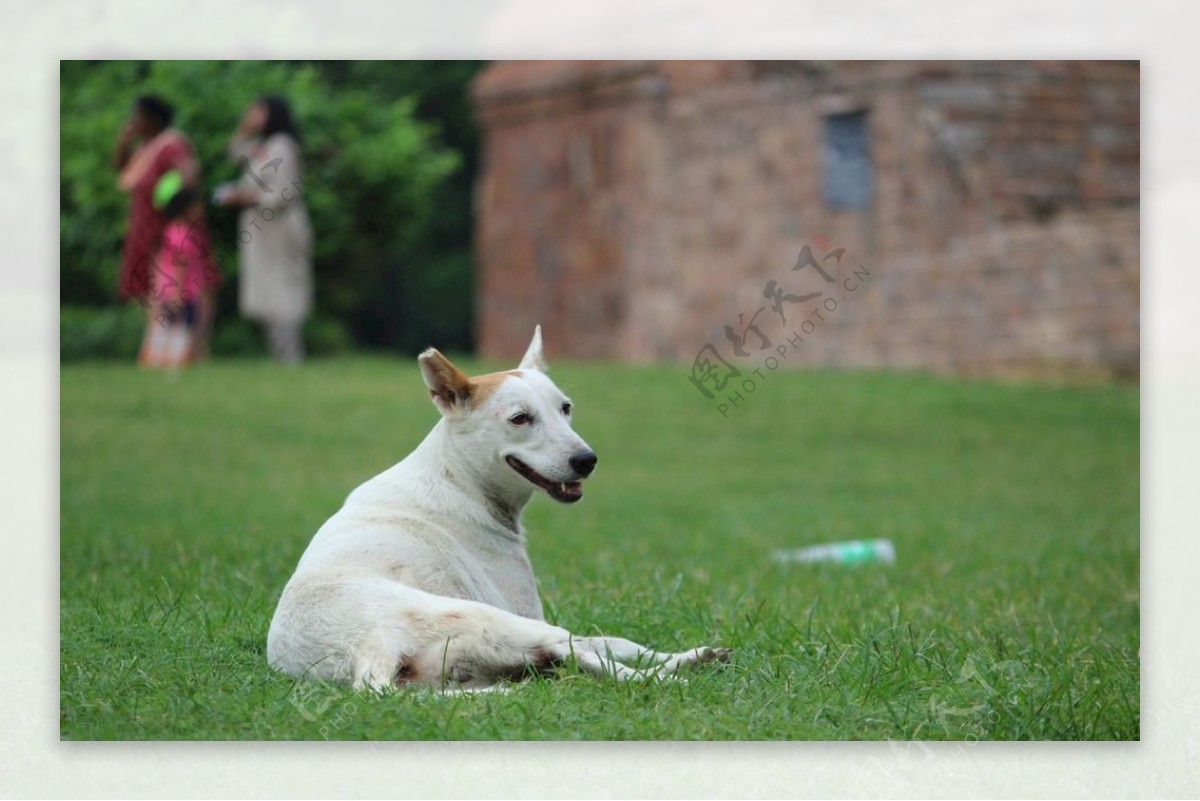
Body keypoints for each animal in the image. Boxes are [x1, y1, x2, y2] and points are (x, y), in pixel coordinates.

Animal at [266, 328, 724, 690]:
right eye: (520, 419)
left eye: (566, 408)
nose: (587, 460)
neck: (459, 479)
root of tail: (366, 648)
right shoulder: (522, 607)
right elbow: (609, 642)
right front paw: (672, 660)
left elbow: (616, 642)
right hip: (497, 620)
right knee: (582, 652)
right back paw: (675, 673)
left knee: (573, 656)